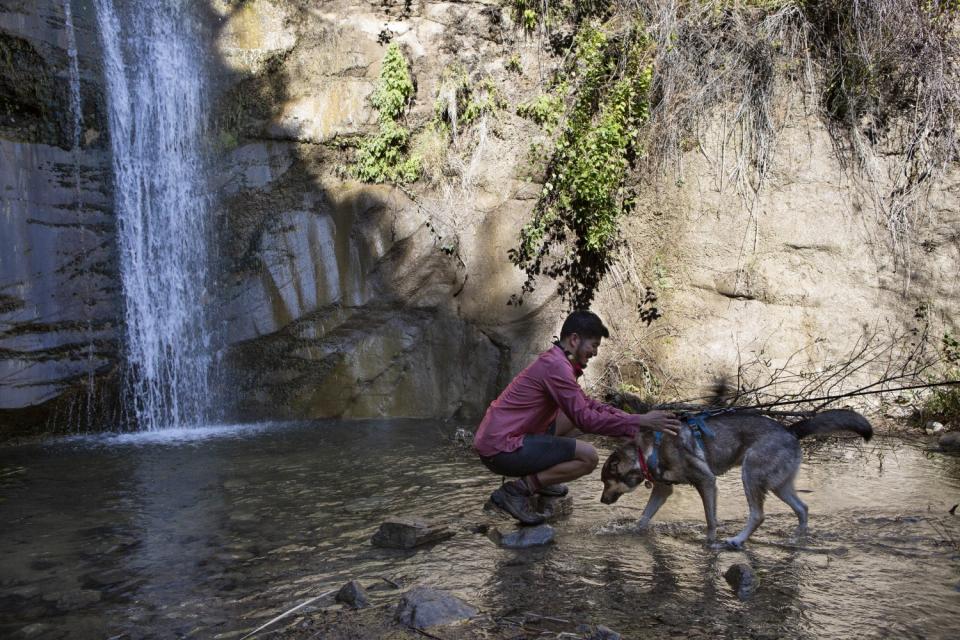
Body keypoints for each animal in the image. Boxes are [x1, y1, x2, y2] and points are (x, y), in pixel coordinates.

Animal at [596, 408, 872, 548]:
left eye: (605, 481)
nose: (601, 501)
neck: (646, 453)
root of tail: (790, 429)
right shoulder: (663, 490)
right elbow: (644, 516)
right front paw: (633, 530)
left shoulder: (706, 482)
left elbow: (710, 520)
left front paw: (710, 542)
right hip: (779, 486)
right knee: (802, 508)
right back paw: (798, 538)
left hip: (750, 475)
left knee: (758, 515)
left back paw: (737, 539)